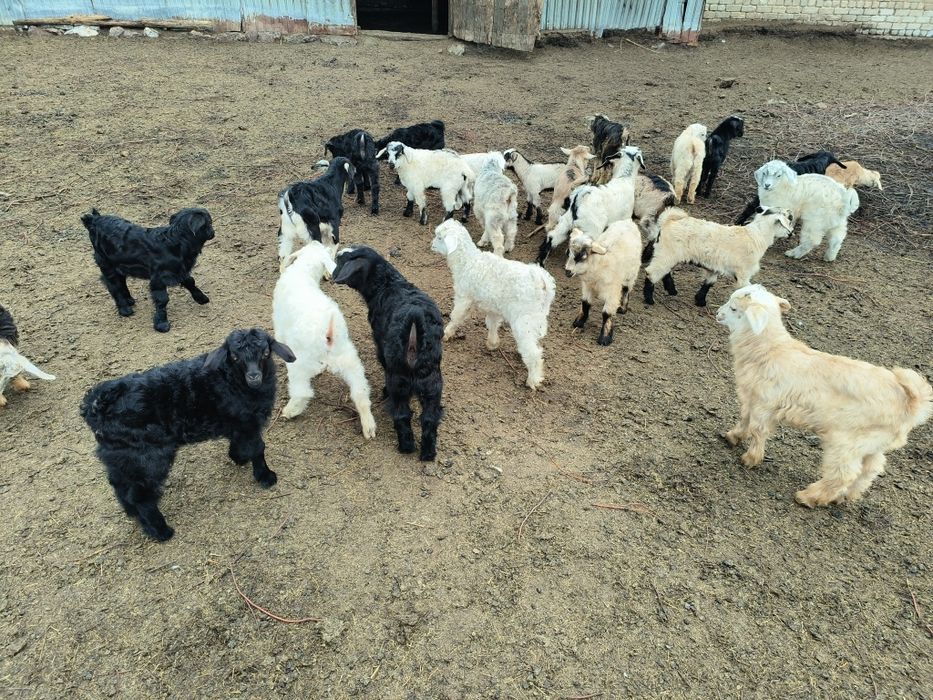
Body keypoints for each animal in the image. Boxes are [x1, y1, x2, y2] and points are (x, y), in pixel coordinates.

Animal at [81, 207, 214, 333]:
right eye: (209, 223)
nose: (213, 232)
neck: (176, 242)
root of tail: (93, 220)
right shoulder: (158, 277)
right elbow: (162, 299)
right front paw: (161, 324)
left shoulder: (179, 270)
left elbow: (190, 281)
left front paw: (202, 298)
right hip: (105, 262)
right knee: (113, 284)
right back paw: (125, 309)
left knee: (121, 280)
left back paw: (129, 300)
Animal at [81, 329, 295, 541]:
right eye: (234, 357)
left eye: (266, 353)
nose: (254, 377)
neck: (230, 380)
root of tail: (96, 406)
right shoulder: (249, 421)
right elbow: (258, 447)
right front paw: (266, 477)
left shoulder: (238, 421)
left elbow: (239, 442)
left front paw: (238, 457)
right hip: (148, 456)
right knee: (141, 494)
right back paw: (160, 531)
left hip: (121, 456)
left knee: (120, 486)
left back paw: (133, 514)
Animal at [333, 246, 444, 461]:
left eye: (340, 260)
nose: (332, 275)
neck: (387, 284)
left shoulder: (380, 344)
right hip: (432, 381)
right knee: (430, 418)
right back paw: (428, 454)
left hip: (398, 379)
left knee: (402, 414)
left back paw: (406, 447)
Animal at [717, 284, 932, 507]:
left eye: (734, 308)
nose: (718, 314)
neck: (770, 349)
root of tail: (911, 404)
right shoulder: (751, 397)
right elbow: (745, 419)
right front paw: (733, 436)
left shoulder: (765, 403)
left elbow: (757, 430)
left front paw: (750, 458)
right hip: (872, 444)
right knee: (871, 469)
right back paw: (847, 495)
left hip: (847, 443)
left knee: (843, 474)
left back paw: (809, 496)